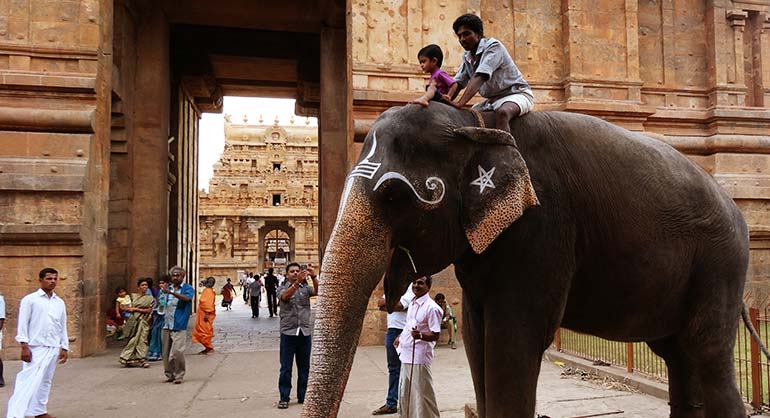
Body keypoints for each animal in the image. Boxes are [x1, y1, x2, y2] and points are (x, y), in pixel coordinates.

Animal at [302, 103, 752, 418]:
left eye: (394, 195)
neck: (474, 120)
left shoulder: (543, 226)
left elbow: (514, 335)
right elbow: (476, 333)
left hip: (721, 263)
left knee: (706, 349)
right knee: (676, 352)